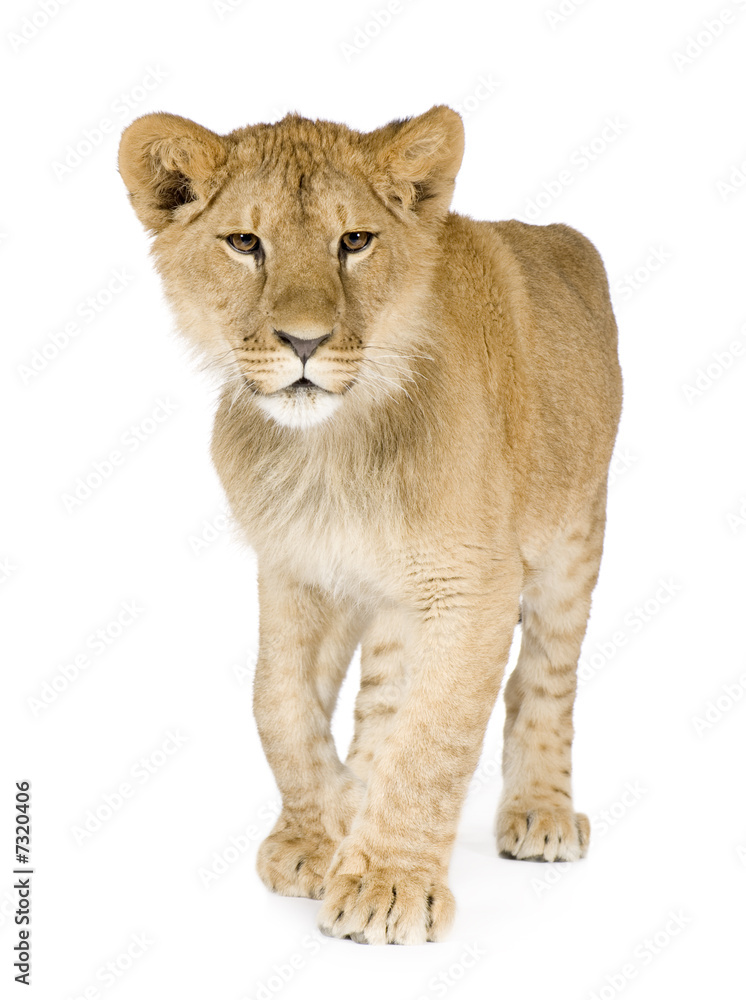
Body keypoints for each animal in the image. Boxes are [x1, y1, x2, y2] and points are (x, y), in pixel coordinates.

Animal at [118, 105, 622, 945]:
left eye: (355, 240)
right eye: (245, 243)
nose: (304, 342)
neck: (330, 449)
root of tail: (561, 234)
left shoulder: (474, 585)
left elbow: (433, 739)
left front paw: (387, 885)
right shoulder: (296, 568)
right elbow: (278, 703)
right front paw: (322, 835)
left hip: (572, 533)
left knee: (544, 678)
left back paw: (540, 814)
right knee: (383, 696)